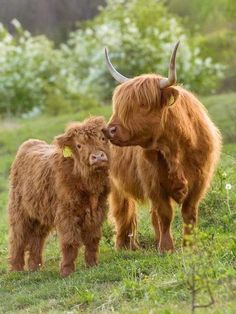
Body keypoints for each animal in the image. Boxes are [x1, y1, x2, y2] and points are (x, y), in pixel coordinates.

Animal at [8, 116, 109, 276]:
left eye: (103, 138)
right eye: (79, 145)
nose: (98, 157)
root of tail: (29, 143)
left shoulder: (97, 210)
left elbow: (93, 238)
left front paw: (92, 265)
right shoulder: (66, 213)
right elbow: (70, 241)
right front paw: (66, 271)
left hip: (40, 214)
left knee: (37, 238)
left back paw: (34, 267)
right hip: (19, 211)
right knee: (18, 238)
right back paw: (16, 270)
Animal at [103, 42, 221, 253]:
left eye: (142, 104)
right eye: (120, 105)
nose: (109, 130)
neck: (174, 148)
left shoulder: (199, 181)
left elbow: (189, 214)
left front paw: (189, 247)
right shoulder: (153, 183)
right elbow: (165, 214)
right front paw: (166, 248)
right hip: (116, 185)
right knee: (123, 210)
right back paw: (125, 245)